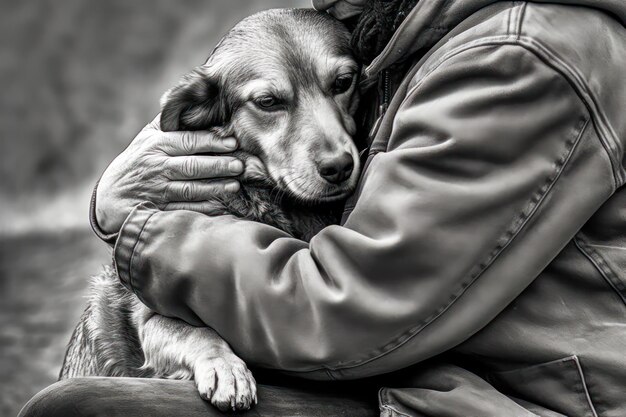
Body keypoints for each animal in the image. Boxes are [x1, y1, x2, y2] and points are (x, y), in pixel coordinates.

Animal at [59, 8, 360, 412]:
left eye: (343, 82)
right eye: (268, 102)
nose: (339, 166)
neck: (261, 199)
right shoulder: (152, 317)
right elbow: (196, 330)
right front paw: (225, 367)